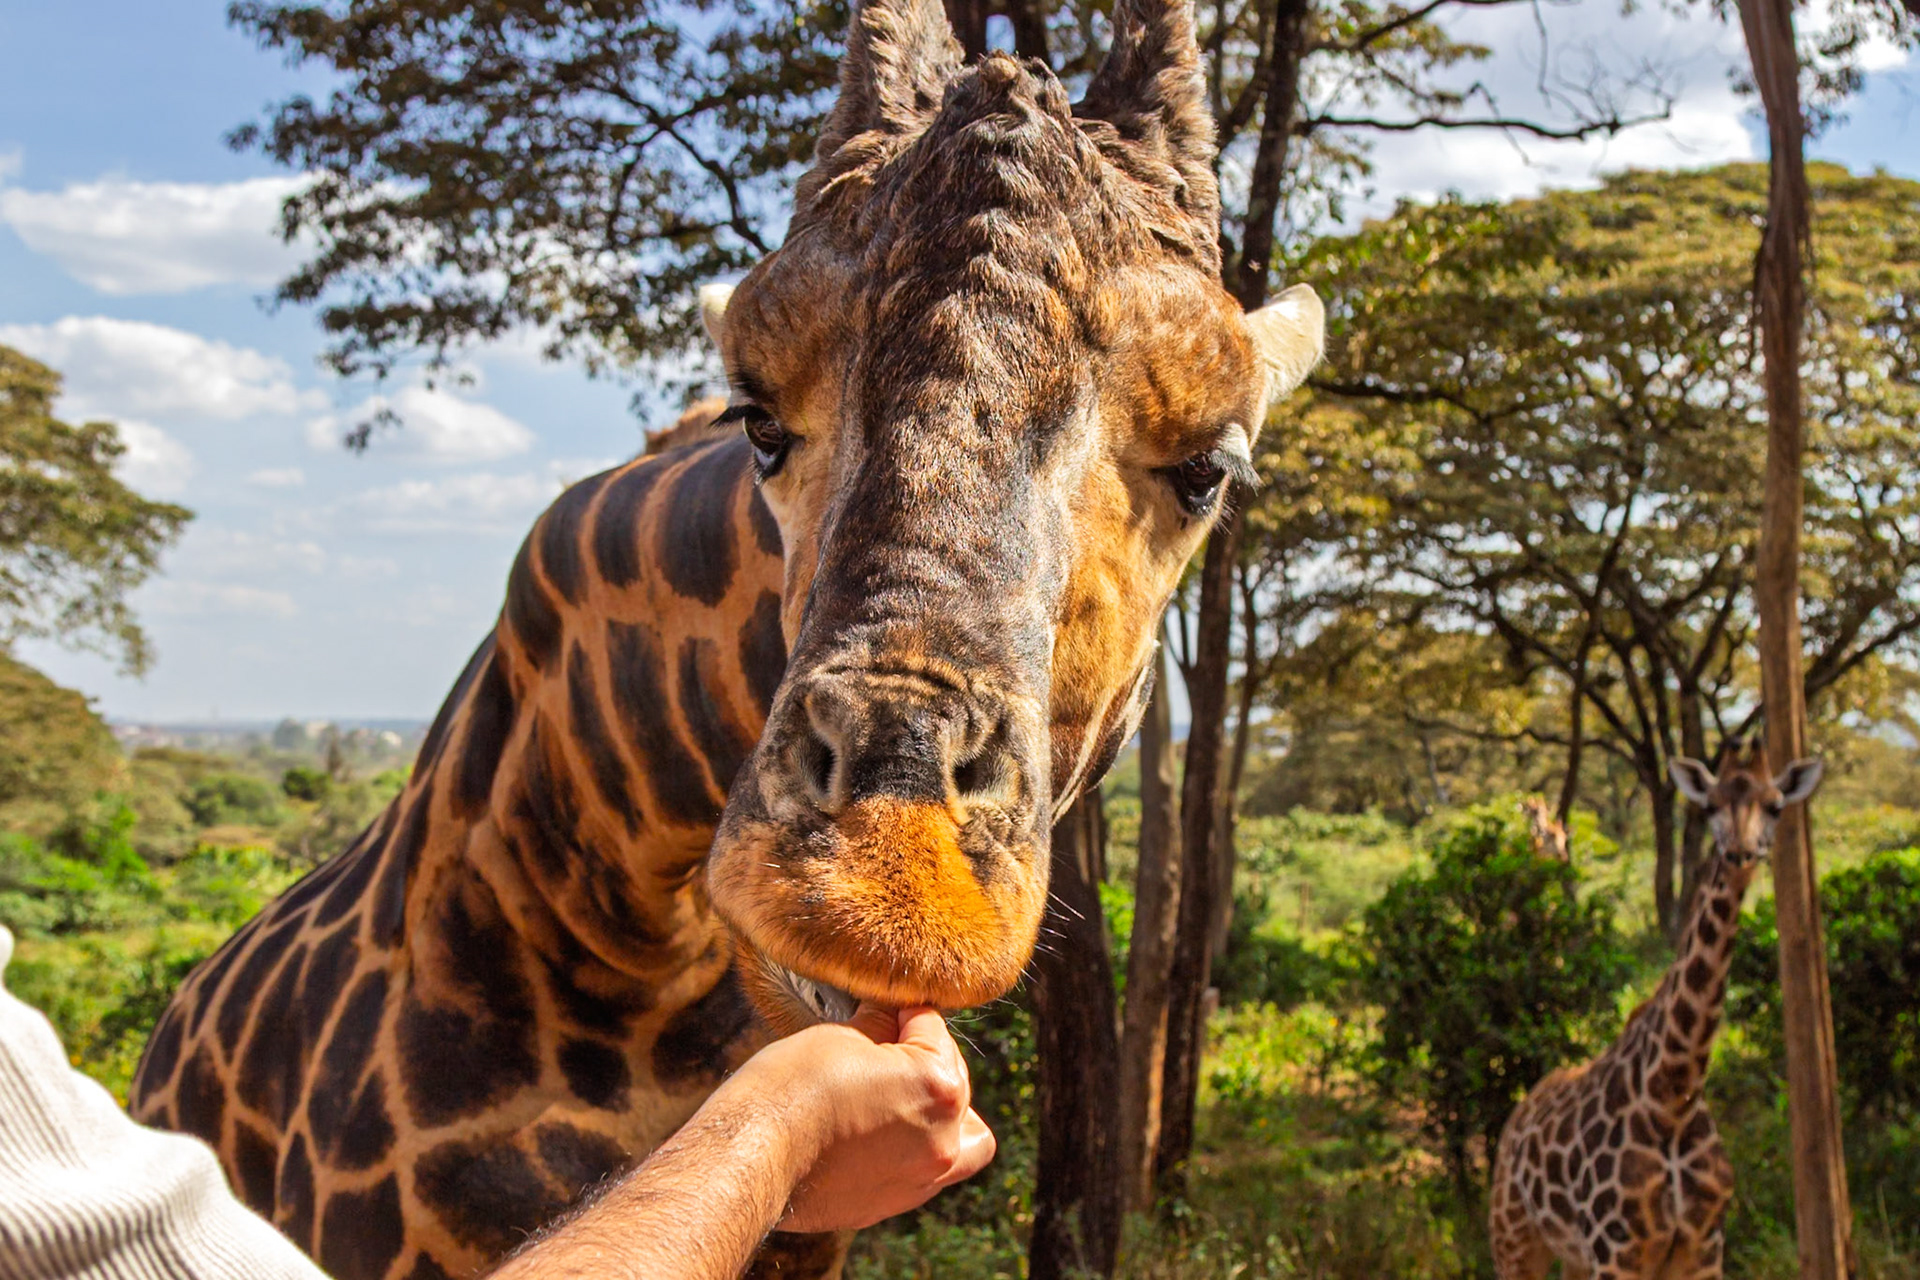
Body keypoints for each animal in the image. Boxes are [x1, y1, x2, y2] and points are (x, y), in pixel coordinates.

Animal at [1488, 738, 1823, 1280]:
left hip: (1572, 1255)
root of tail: (1516, 1118)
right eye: (1711, 805)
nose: (1740, 852)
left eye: (1775, 806)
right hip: (1515, 1240)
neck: (1671, 1094)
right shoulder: (1617, 1250)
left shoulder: (1702, 1249)